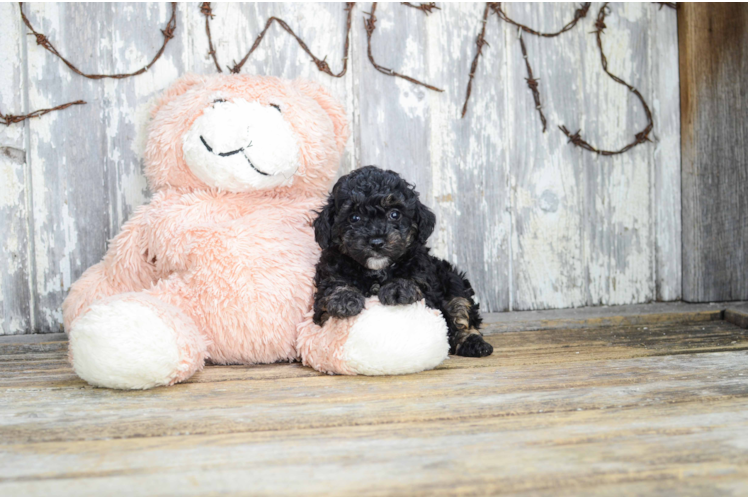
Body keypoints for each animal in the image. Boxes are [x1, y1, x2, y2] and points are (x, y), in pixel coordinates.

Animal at [312, 166, 494, 358]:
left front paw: (399, 288)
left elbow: (414, 279)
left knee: (461, 311)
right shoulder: (325, 287)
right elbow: (332, 288)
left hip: (453, 282)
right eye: (354, 218)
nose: (376, 241)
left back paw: (474, 343)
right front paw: (344, 298)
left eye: (395, 214)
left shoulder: (426, 285)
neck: (377, 270)